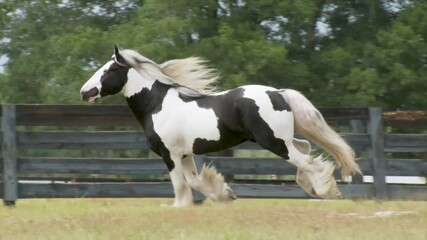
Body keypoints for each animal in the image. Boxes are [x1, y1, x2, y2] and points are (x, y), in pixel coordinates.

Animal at [79, 46, 362, 207]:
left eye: (107, 71)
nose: (84, 92)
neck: (158, 106)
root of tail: (278, 93)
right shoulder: (185, 155)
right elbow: (194, 181)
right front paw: (225, 195)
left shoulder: (169, 155)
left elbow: (181, 186)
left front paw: (179, 207)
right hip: (283, 139)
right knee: (305, 149)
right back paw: (312, 187)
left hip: (274, 142)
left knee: (310, 162)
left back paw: (327, 191)